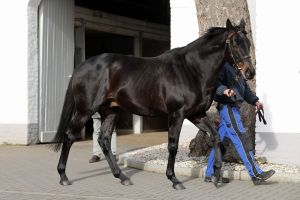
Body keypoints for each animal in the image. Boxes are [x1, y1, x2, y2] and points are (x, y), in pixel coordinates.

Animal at [51, 19, 253, 191]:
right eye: (235, 42)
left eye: (248, 43)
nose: (250, 72)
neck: (191, 70)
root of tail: (82, 66)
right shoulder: (177, 114)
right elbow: (173, 145)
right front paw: (174, 179)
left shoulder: (196, 114)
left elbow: (216, 138)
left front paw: (217, 176)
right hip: (85, 110)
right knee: (69, 136)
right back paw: (63, 177)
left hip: (110, 111)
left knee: (104, 140)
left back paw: (122, 177)